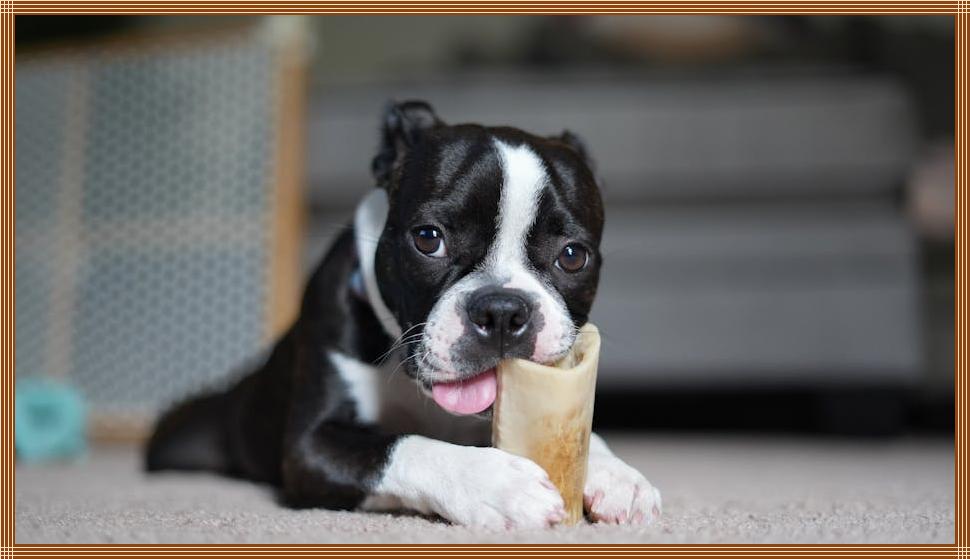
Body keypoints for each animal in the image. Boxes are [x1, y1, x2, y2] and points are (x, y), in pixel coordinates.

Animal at [146, 100, 662, 529]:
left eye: (573, 256)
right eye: (428, 238)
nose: (501, 310)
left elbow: (581, 432)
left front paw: (616, 474)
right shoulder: (310, 448)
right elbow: (401, 446)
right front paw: (497, 487)